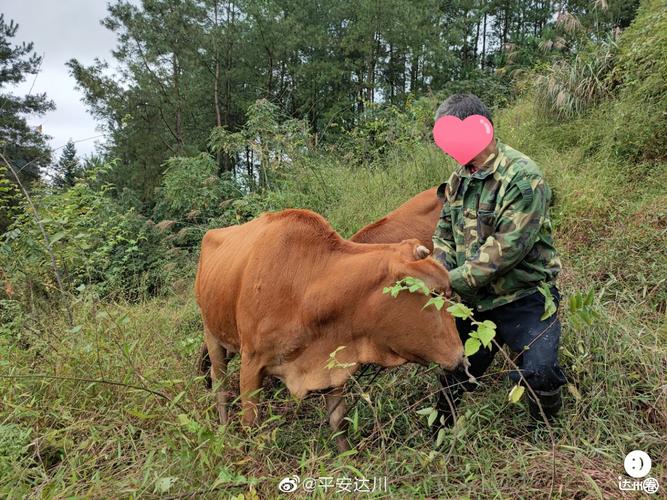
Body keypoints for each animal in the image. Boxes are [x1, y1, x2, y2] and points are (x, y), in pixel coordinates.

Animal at [196, 209, 462, 452]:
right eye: (435, 294)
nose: (462, 356)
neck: (306, 291)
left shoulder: (333, 367)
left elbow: (338, 423)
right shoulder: (251, 363)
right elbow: (251, 426)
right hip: (212, 334)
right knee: (219, 384)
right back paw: (222, 428)